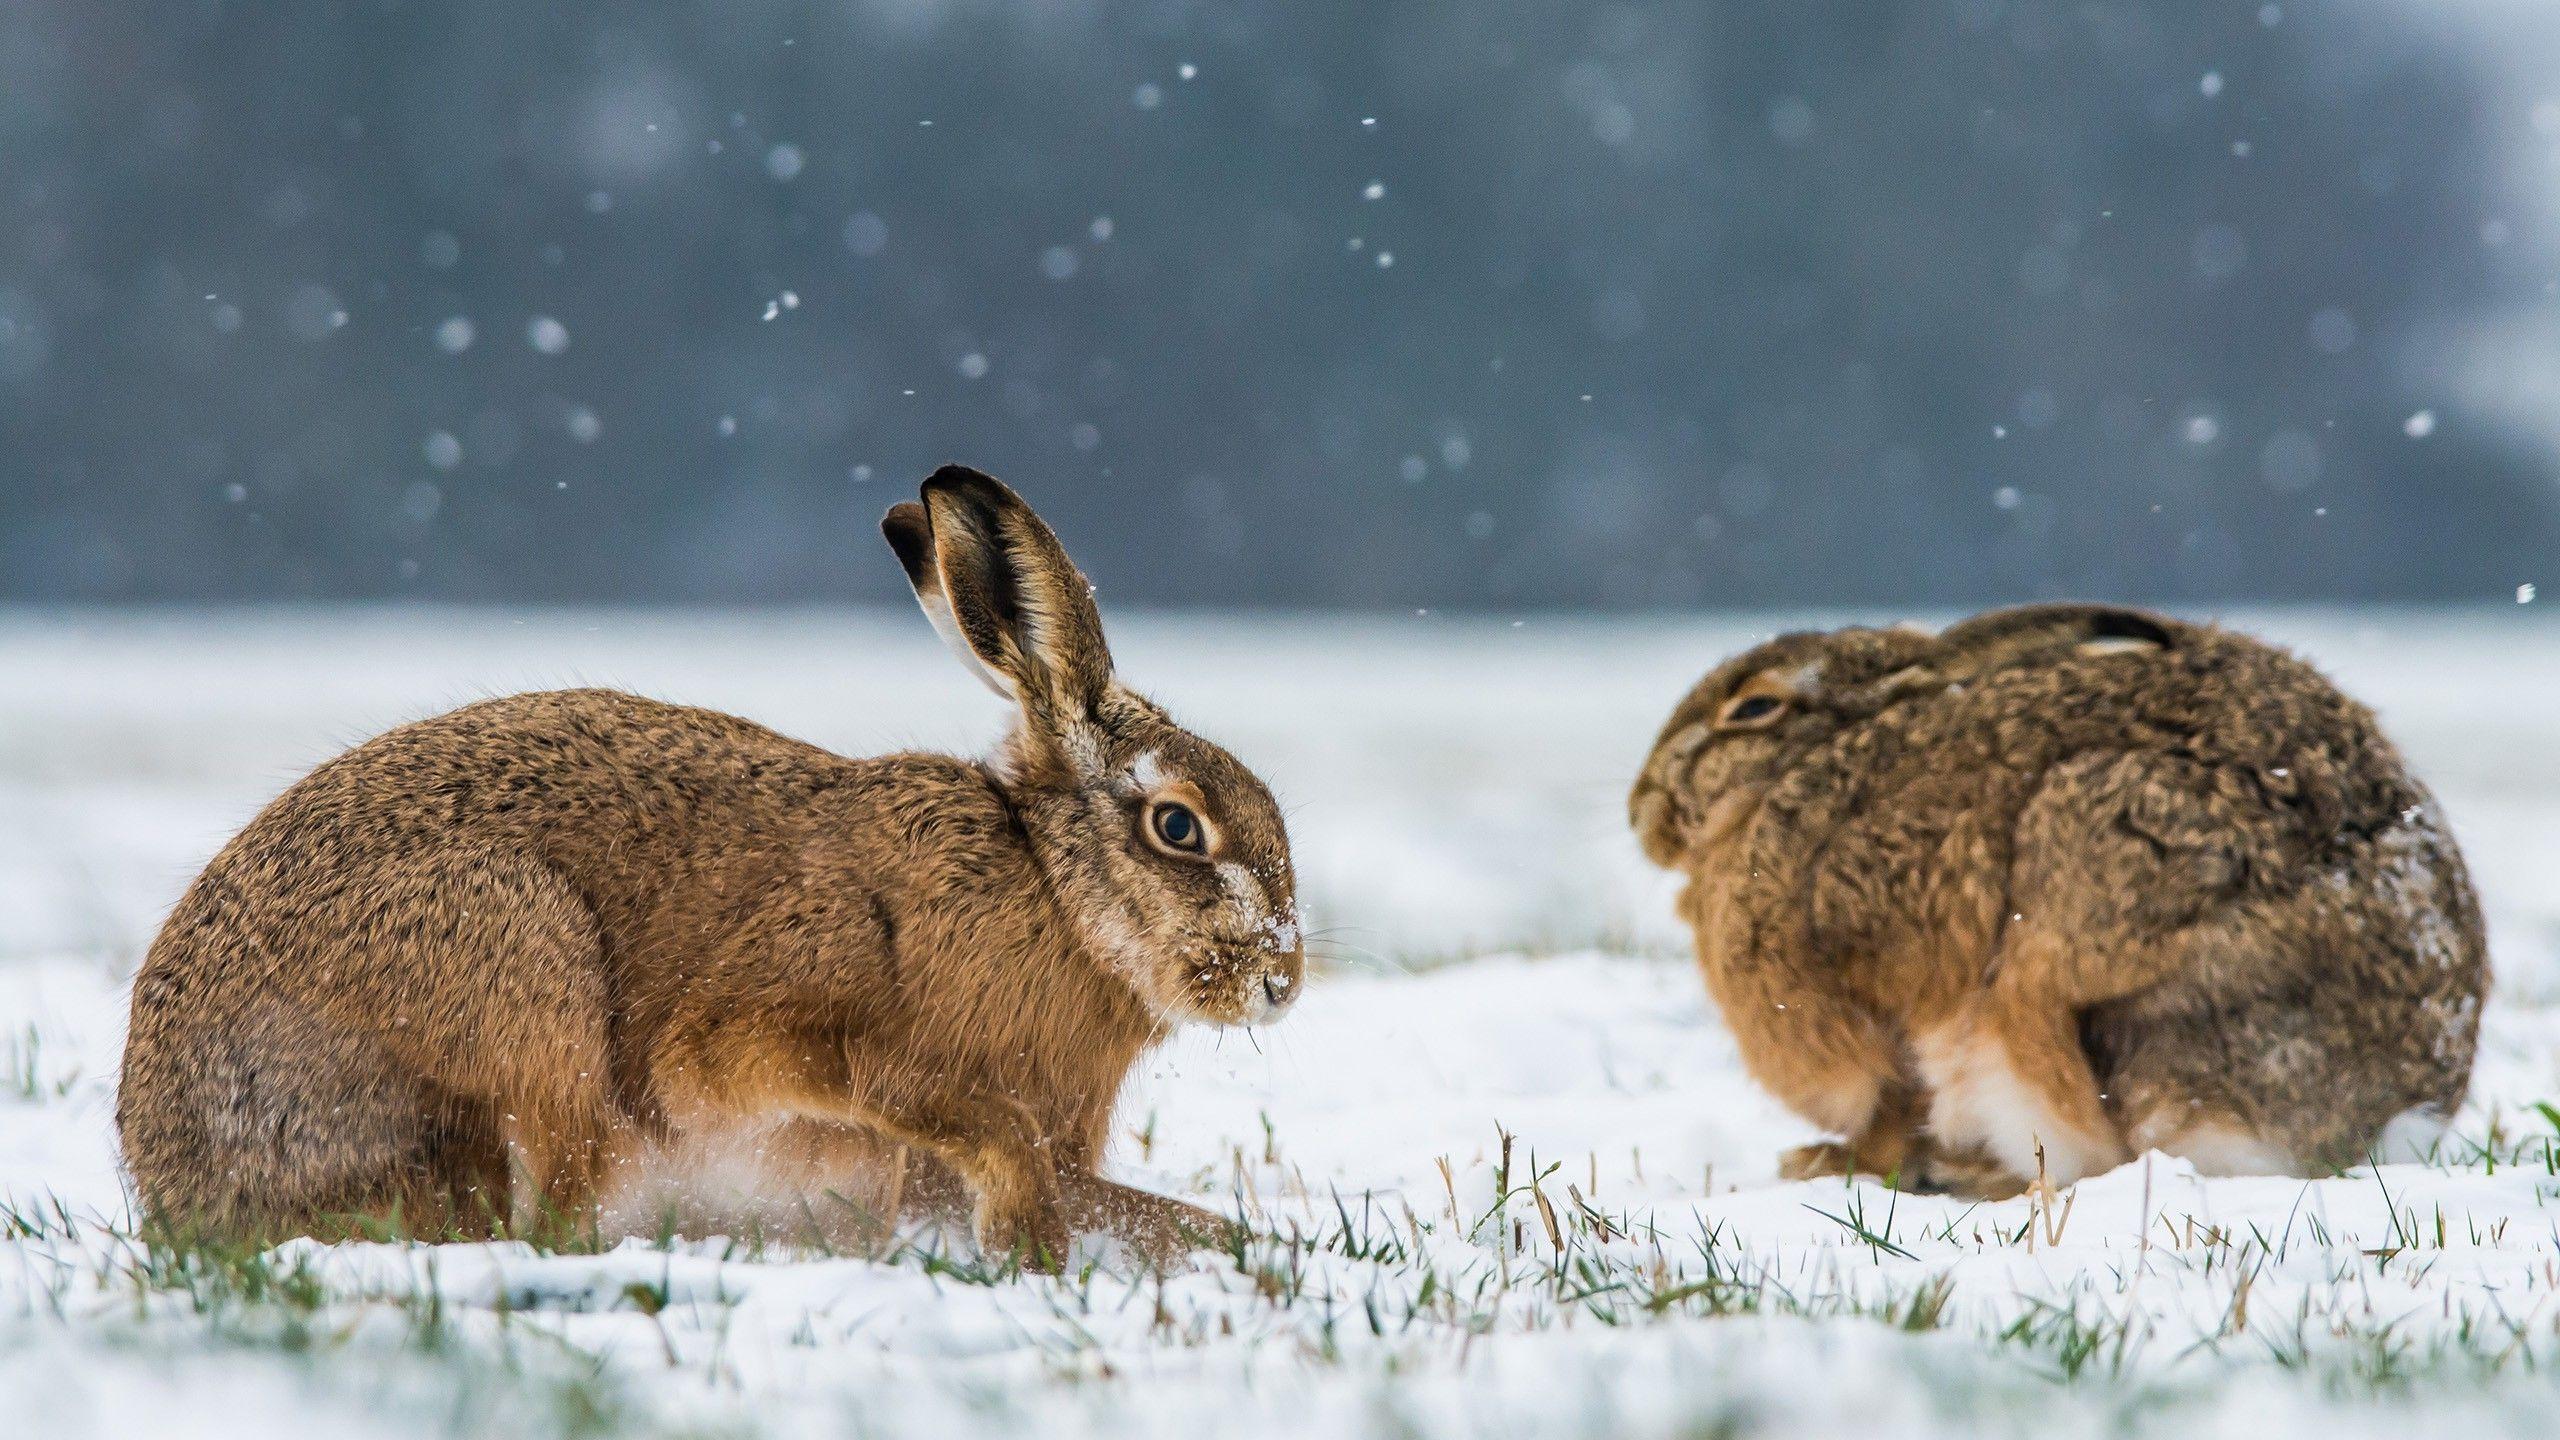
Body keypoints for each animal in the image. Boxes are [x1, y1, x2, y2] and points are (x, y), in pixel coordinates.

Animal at [117, 465, 1306, 1264]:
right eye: (1178, 827)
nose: (1281, 976)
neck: (1053, 898)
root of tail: (175, 1173)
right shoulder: (760, 1034)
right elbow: (926, 1098)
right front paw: (1027, 1237)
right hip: (524, 972)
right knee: (549, 1216)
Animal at [1630, 603, 2485, 1198]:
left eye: (1752, 708)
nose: (1641, 808)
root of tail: (2395, 1117)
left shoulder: (1878, 1000)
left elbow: (1896, 1102)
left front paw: (1828, 1165)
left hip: (2070, 949)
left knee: (2102, 1149)